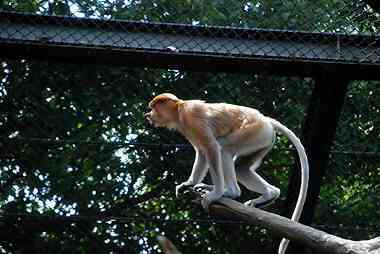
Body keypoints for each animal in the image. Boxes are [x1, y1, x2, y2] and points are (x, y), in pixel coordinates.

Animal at [145, 93, 308, 254]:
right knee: (241, 168)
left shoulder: (191, 116)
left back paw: (230, 192)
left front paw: (215, 194)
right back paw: (270, 195)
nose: (148, 115)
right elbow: (202, 152)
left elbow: (211, 147)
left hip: (254, 132)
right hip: (263, 141)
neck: (179, 109)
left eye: (153, 108)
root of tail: (265, 119)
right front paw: (189, 184)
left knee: (224, 150)